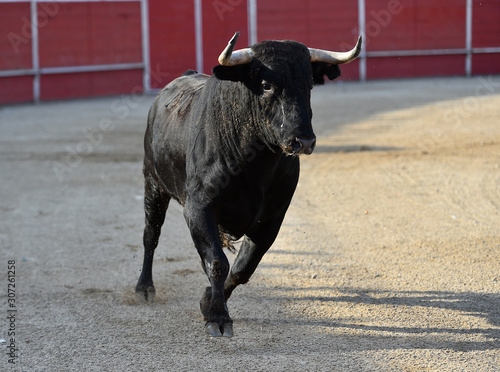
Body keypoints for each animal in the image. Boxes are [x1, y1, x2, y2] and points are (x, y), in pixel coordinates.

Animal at [135, 32, 362, 338]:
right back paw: (144, 288)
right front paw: (218, 317)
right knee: (151, 234)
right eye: (266, 85)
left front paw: (208, 302)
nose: (303, 141)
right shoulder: (197, 207)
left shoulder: (273, 217)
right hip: (153, 183)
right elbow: (217, 262)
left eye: (310, 85)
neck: (255, 164)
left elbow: (243, 266)